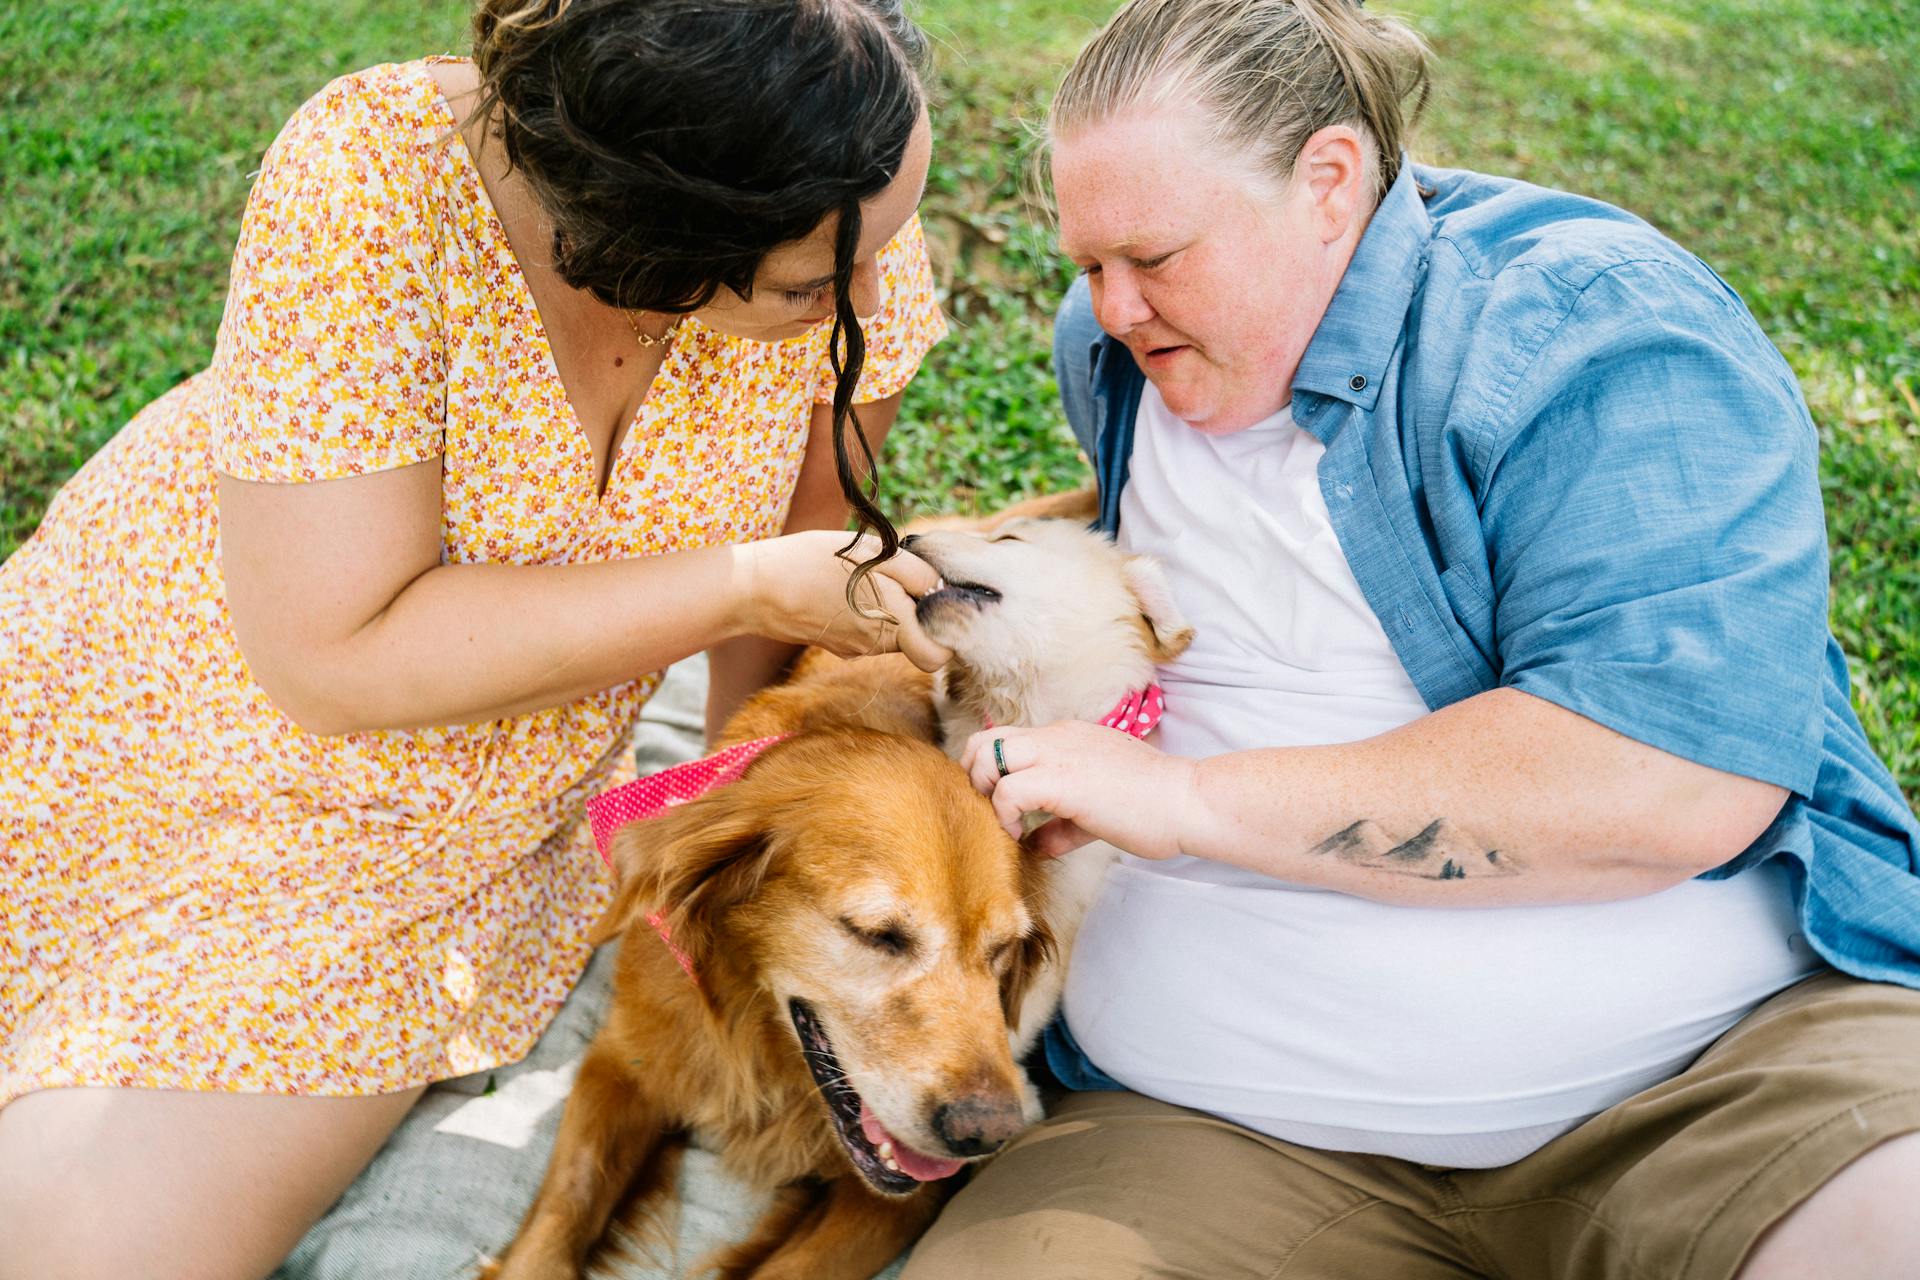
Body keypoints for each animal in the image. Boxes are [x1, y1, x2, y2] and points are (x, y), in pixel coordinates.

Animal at [480, 656, 1052, 1274]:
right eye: (877, 934)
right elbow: (566, 1204)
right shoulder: (623, 1062)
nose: (988, 1134)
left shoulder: (904, 1200)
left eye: (1001, 950)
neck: (758, 1037)